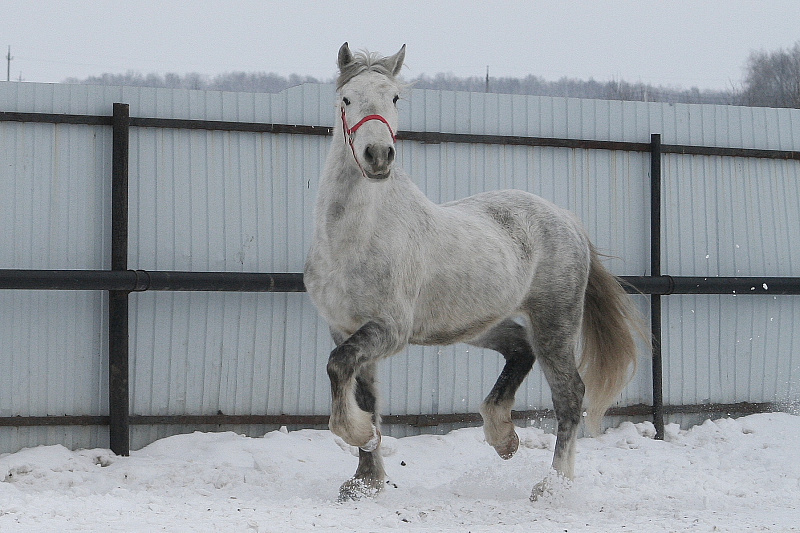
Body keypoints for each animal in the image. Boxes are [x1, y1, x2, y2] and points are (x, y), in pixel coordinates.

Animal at [303, 42, 648, 502]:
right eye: (346, 99)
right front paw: (365, 482)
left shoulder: (390, 329)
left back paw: (552, 486)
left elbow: (339, 369)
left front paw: (359, 436)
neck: (355, 236)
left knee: (570, 395)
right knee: (520, 348)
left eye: (394, 98)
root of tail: (566, 219)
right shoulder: (344, 327)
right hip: (476, 323)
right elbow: (364, 394)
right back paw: (504, 438)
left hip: (554, 322)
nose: (378, 157)